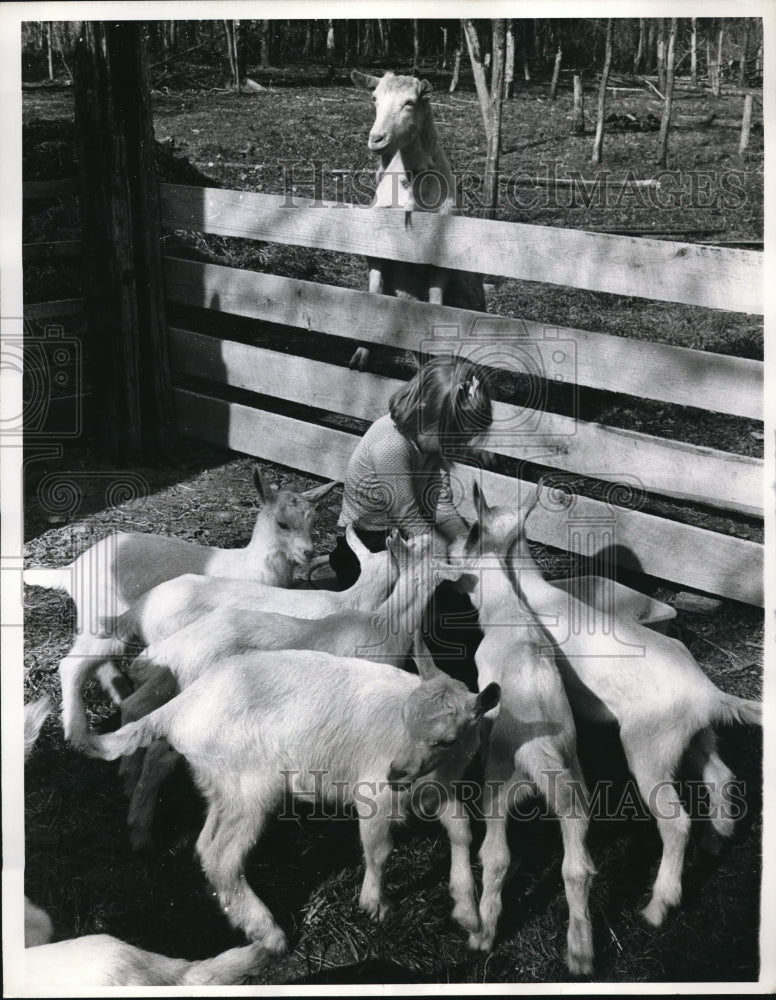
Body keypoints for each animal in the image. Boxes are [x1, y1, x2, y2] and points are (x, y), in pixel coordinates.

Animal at [23, 465, 337, 749]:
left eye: (313, 522)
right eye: (282, 524)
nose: (308, 553)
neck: (249, 564)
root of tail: (72, 568)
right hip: (103, 614)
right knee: (73, 665)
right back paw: (77, 733)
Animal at [85, 648, 500, 954]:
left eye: (446, 740)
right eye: (405, 718)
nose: (396, 772)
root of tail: (179, 708)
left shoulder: (440, 789)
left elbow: (462, 831)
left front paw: (469, 916)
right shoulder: (374, 794)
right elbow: (379, 849)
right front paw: (375, 905)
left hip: (224, 785)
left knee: (204, 842)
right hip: (251, 787)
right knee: (221, 855)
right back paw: (269, 935)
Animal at [349, 70, 486, 370]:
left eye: (410, 102)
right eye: (374, 98)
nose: (376, 139)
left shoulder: (441, 258)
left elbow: (435, 304)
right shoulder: (375, 250)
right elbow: (374, 293)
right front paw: (360, 355)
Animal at [455, 507, 595, 976]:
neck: (509, 609)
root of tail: (539, 756)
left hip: (498, 787)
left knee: (497, 856)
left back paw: (482, 934)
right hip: (574, 793)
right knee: (577, 868)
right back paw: (580, 953)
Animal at [469, 480, 762, 929]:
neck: (527, 592)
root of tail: (710, 694)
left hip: (648, 746)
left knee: (676, 822)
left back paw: (658, 907)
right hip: (695, 733)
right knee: (720, 775)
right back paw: (716, 840)